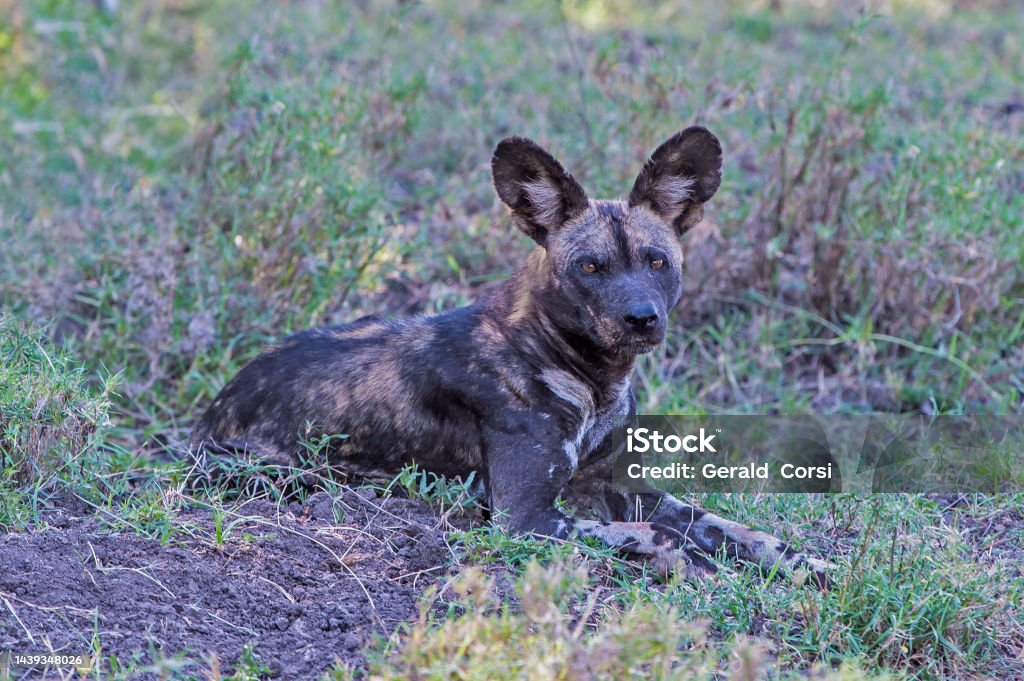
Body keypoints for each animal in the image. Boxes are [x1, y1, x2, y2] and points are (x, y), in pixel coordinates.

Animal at [190, 125, 831, 585]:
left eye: (657, 261)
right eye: (590, 266)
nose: (641, 319)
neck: (593, 379)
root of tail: (220, 401)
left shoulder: (618, 485)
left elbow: (734, 528)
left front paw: (804, 565)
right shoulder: (526, 516)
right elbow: (658, 536)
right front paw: (702, 570)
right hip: (277, 476)